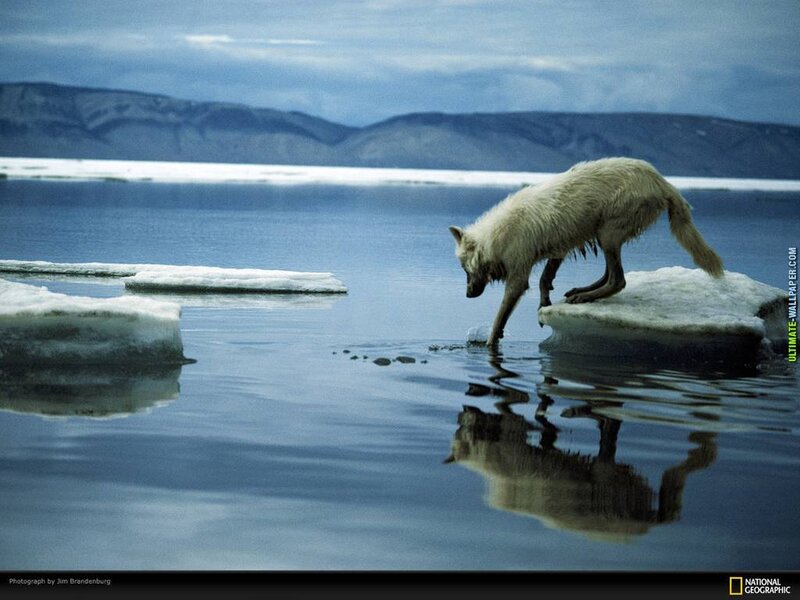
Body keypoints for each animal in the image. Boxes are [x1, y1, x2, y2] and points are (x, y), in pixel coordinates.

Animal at [449, 157, 724, 348]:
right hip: (603, 235)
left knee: (618, 280)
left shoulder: (518, 275)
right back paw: (582, 291)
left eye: (465, 269)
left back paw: (585, 296)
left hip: (608, 233)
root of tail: (662, 181)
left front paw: (490, 343)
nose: (467, 295)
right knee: (610, 274)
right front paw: (544, 303)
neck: (496, 237)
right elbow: (545, 279)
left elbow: (500, 317)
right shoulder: (557, 250)